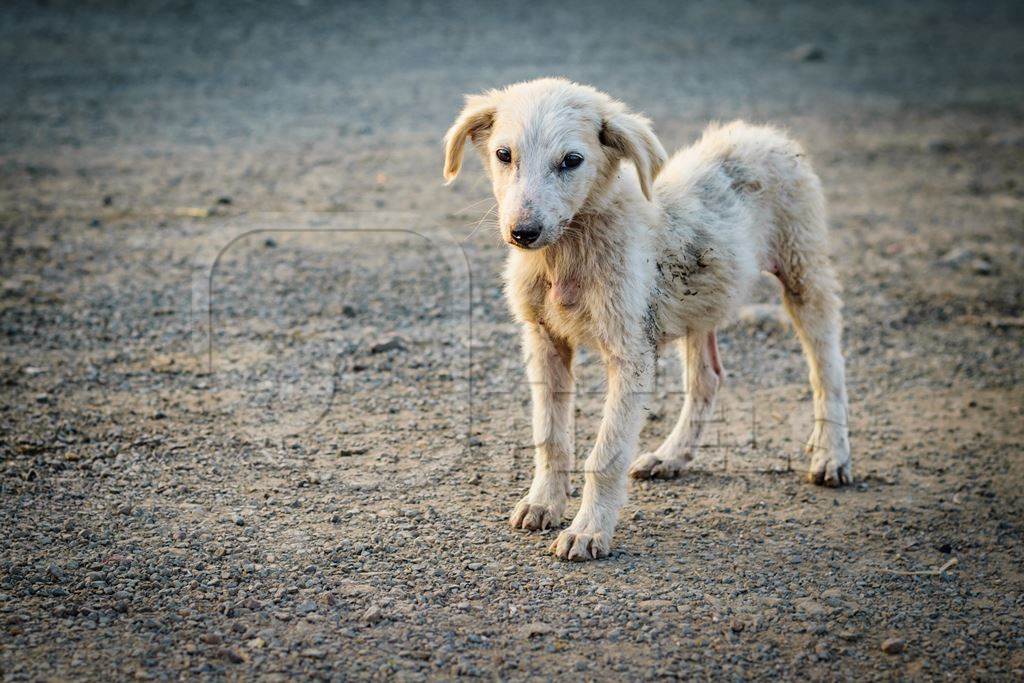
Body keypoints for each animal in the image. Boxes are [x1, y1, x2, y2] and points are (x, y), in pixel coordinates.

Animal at [444, 80, 851, 561]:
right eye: (504, 154)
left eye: (572, 160)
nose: (523, 232)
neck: (567, 253)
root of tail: (764, 133)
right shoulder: (544, 342)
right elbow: (550, 436)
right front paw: (543, 503)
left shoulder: (631, 352)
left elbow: (606, 454)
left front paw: (588, 530)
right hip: (701, 301)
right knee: (708, 378)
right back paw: (671, 456)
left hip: (803, 270)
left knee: (827, 369)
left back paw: (831, 454)